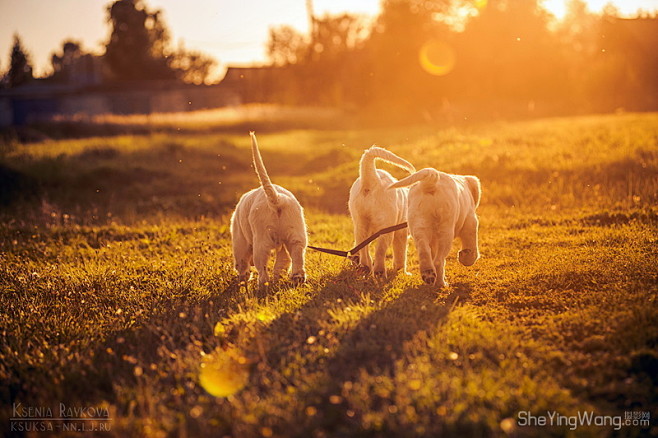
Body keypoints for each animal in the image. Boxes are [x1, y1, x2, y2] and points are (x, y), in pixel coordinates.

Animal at [229, 132, 306, 286]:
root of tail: (277, 199)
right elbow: (282, 261)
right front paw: (279, 276)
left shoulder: (240, 240)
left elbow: (241, 262)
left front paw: (243, 278)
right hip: (296, 234)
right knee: (297, 254)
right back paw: (297, 278)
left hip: (261, 240)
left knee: (262, 267)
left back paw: (262, 284)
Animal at [348, 147, 416, 278]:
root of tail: (372, 180)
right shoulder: (400, 233)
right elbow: (400, 253)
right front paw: (401, 271)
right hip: (386, 228)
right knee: (379, 251)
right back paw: (379, 273)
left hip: (360, 224)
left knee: (362, 246)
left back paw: (366, 267)